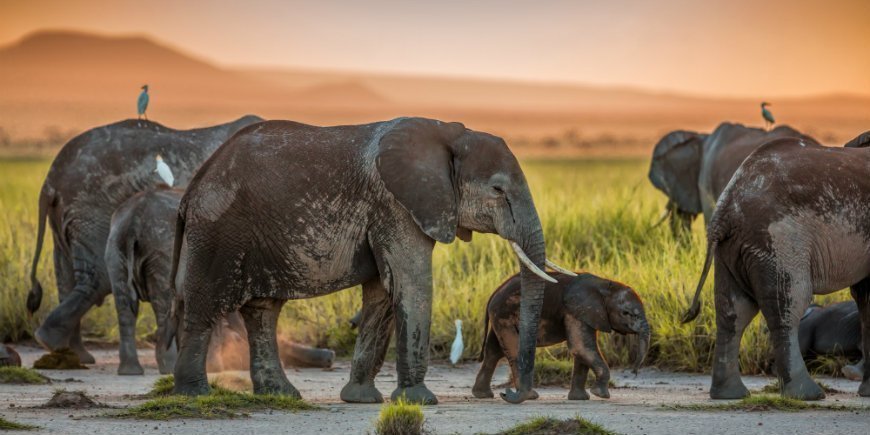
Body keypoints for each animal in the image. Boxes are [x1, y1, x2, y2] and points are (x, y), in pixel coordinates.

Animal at [28, 114, 266, 362]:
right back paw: (57, 344)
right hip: (91, 209)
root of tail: (50, 181)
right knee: (98, 276)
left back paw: (70, 352)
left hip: (69, 216)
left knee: (66, 275)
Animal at [170, 116, 568, 406]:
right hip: (218, 230)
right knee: (205, 307)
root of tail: (192, 189)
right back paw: (194, 394)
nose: (515, 395)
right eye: (498, 190)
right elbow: (411, 283)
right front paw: (420, 401)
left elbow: (383, 293)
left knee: (263, 312)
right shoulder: (395, 204)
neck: (449, 134)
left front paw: (361, 400)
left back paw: (281, 395)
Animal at [474, 272, 652, 402]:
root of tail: (494, 293)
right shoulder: (574, 311)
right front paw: (600, 395)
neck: (604, 284)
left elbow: (582, 350)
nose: (634, 371)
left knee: (493, 352)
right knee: (512, 350)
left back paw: (483, 395)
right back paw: (530, 396)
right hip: (505, 315)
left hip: (500, 317)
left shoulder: (587, 314)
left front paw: (580, 399)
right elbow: (581, 348)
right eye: (626, 313)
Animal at [684, 131, 870, 400]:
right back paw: (806, 394)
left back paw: (730, 394)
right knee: (788, 307)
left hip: (733, 249)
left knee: (733, 312)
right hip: (780, 241)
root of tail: (725, 210)